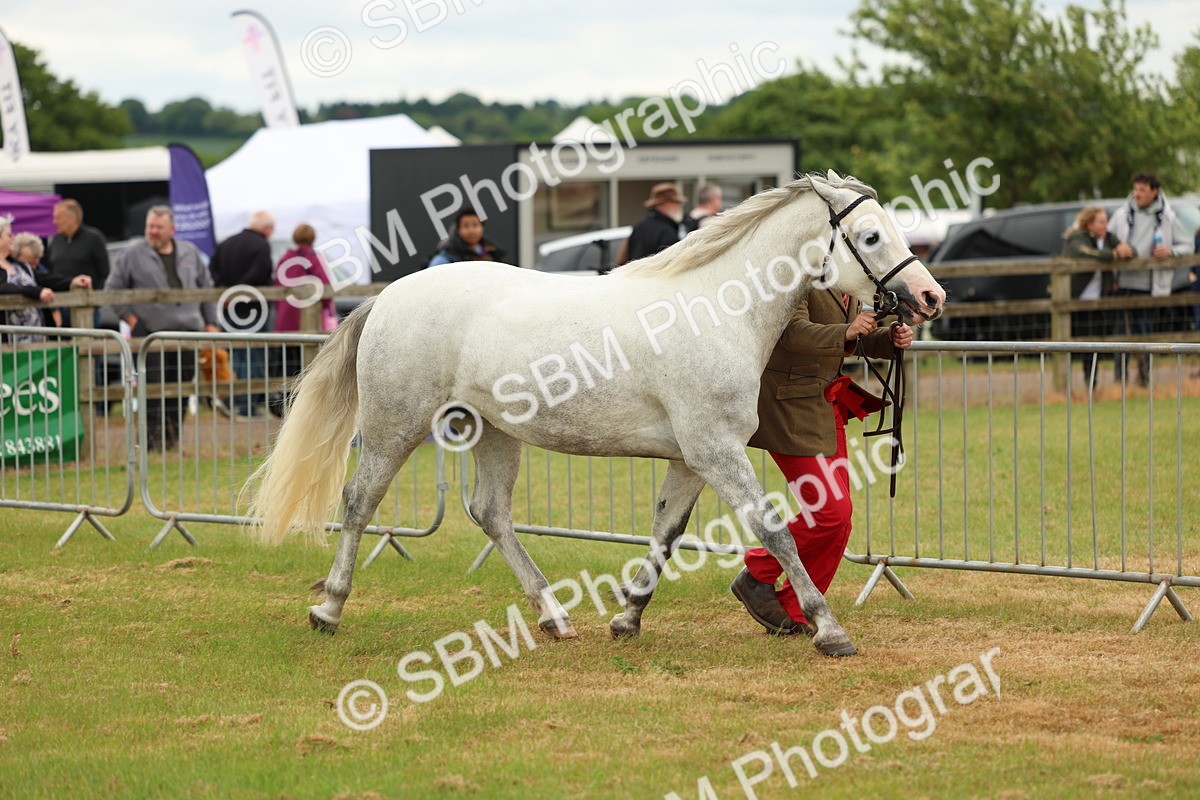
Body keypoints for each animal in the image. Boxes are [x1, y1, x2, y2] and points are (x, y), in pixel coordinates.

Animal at [247, 170, 946, 658]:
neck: (717, 309)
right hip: (397, 425)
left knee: (489, 512)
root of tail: (389, 295)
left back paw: (554, 617)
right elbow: (774, 531)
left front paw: (626, 618)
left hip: (493, 431)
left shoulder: (691, 459)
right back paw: (328, 610)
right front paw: (828, 629)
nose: (929, 297)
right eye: (872, 235)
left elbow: (665, 534)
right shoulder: (717, 451)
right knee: (359, 502)